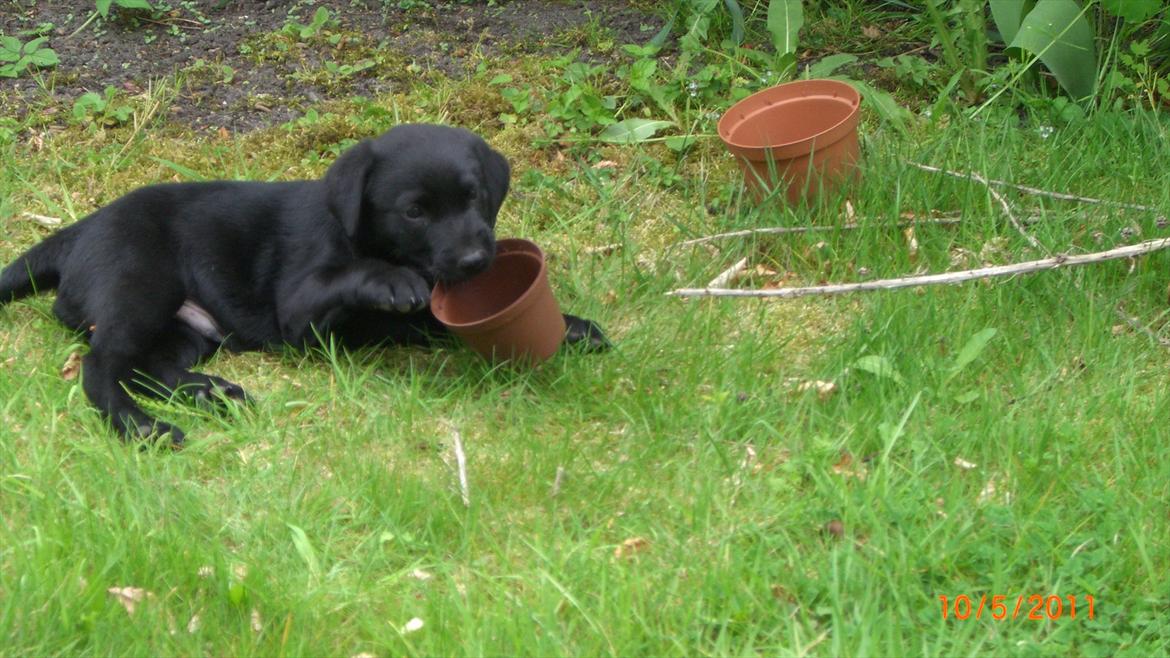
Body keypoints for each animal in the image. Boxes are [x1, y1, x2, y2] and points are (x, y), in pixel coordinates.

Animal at [2, 122, 613, 442]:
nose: (473, 259)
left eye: (474, 198)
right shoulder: (298, 312)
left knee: (148, 366)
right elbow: (357, 279)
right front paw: (391, 280)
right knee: (103, 365)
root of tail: (81, 228)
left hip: (187, 327)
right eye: (414, 211)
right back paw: (140, 426)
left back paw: (210, 392)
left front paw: (573, 327)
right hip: (141, 284)